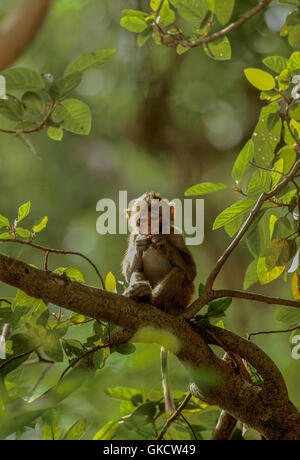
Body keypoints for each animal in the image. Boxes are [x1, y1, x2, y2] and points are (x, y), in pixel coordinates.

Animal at [122, 191, 197, 414]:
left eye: (155, 218)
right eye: (141, 220)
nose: (149, 230)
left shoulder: (177, 235)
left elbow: (191, 271)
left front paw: (161, 241)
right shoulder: (132, 237)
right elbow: (128, 272)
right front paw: (141, 245)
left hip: (182, 299)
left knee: (180, 274)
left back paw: (153, 300)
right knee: (136, 273)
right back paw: (140, 294)